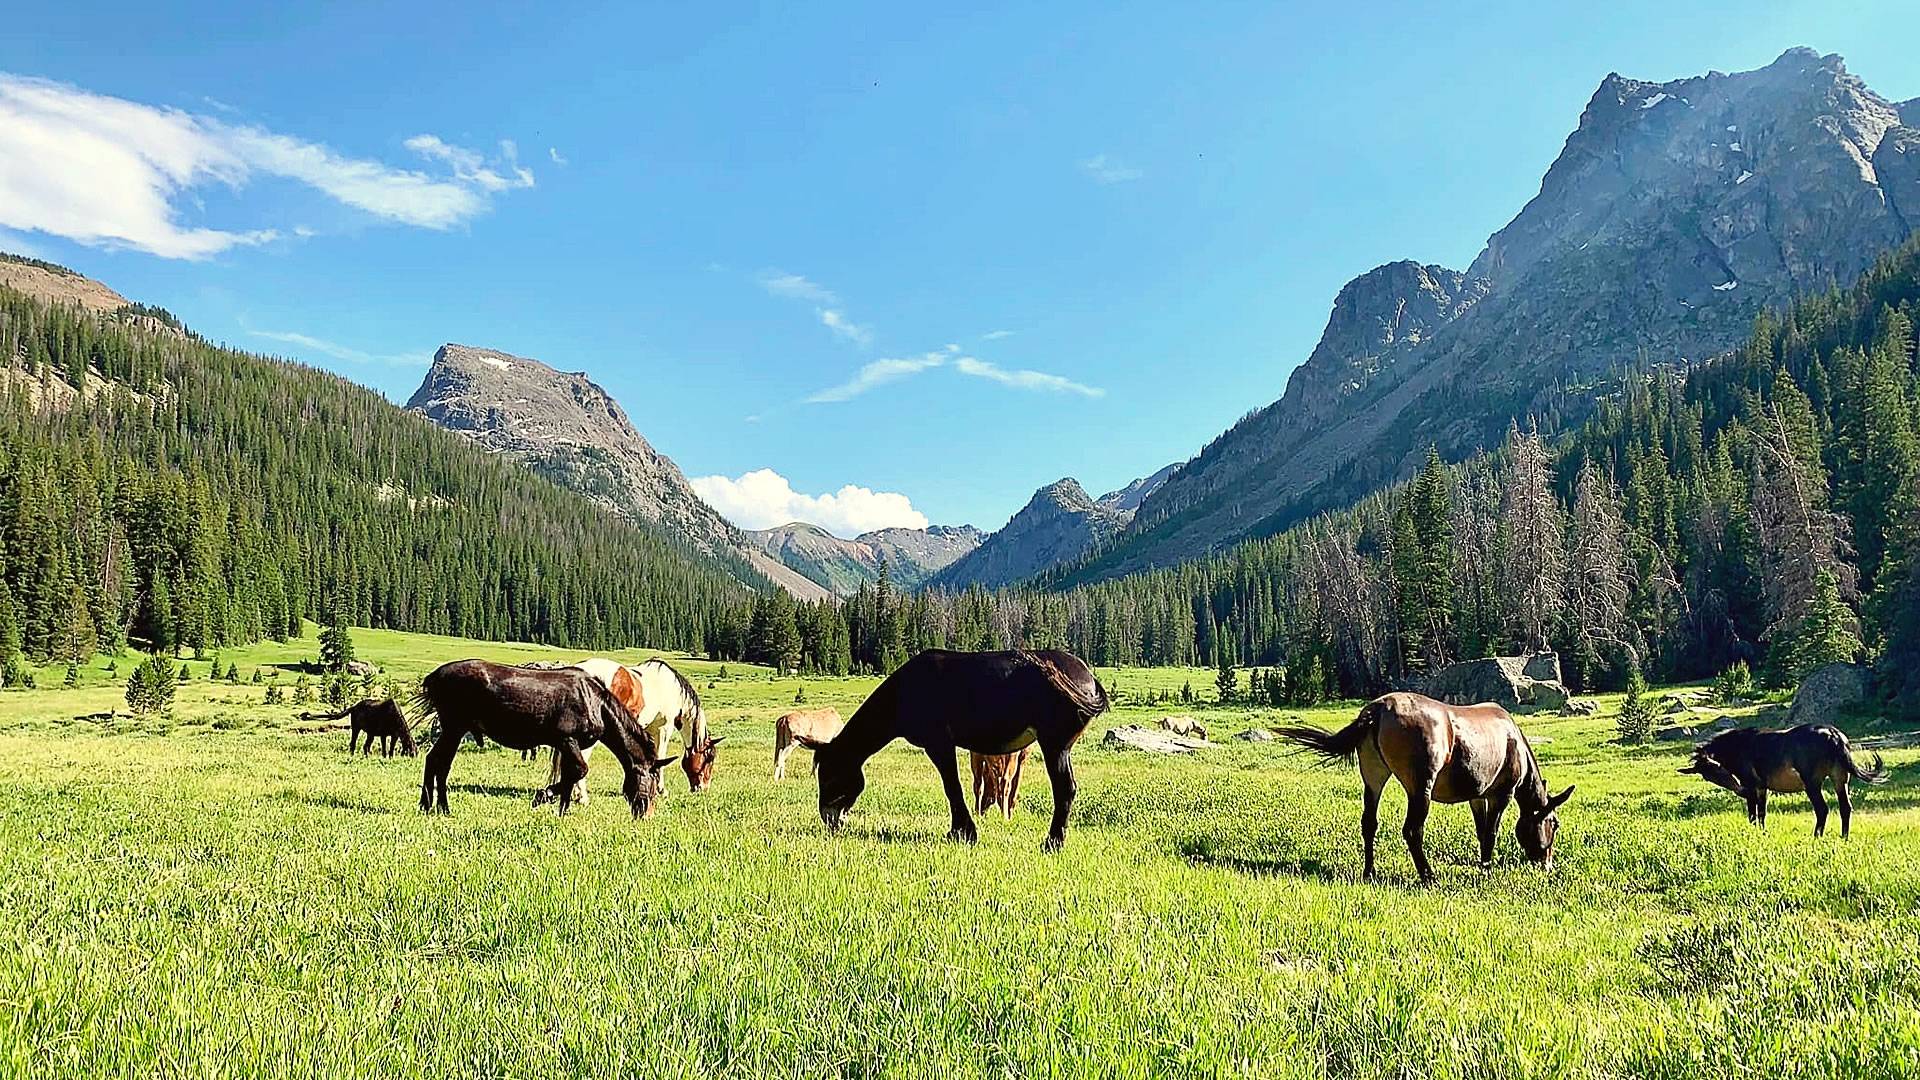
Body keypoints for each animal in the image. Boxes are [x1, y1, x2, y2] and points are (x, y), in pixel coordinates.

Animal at [410, 657, 675, 814]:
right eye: (650, 785)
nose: (645, 814)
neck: (595, 702)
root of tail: (434, 677)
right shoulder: (567, 740)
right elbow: (579, 770)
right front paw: (543, 796)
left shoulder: (569, 745)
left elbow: (570, 775)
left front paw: (562, 810)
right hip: (454, 728)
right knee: (440, 763)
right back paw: (440, 807)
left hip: (452, 729)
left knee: (435, 761)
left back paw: (430, 805)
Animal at [533, 653, 721, 803]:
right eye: (709, 758)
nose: (703, 788)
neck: (670, 689)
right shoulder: (663, 728)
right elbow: (660, 756)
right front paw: (662, 790)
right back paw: (583, 797)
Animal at [798, 645, 1113, 849]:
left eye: (829, 775)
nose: (827, 818)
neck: (903, 692)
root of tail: (1089, 678)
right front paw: (962, 830)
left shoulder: (938, 744)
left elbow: (952, 787)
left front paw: (963, 832)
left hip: (1054, 745)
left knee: (1064, 789)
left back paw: (1052, 842)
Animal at [1274, 691, 1574, 880]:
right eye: (1555, 823)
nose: (1547, 863)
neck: (1518, 746)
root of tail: (1376, 711)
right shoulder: (1502, 793)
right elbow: (1490, 834)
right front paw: (1486, 869)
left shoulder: (1477, 795)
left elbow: (1480, 832)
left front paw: (1483, 864)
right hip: (1421, 786)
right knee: (1412, 830)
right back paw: (1428, 875)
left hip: (1373, 776)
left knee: (1369, 823)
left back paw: (1370, 872)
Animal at [1681, 718, 1889, 837]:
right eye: (1707, 776)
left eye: (1716, 767)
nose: (1739, 790)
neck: (1736, 747)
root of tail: (1834, 736)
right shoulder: (1762, 786)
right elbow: (1762, 812)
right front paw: (1762, 832)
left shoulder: (1751, 784)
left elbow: (1752, 813)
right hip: (1840, 777)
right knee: (1845, 807)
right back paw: (1843, 837)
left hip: (1812, 782)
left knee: (1822, 809)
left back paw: (1816, 836)